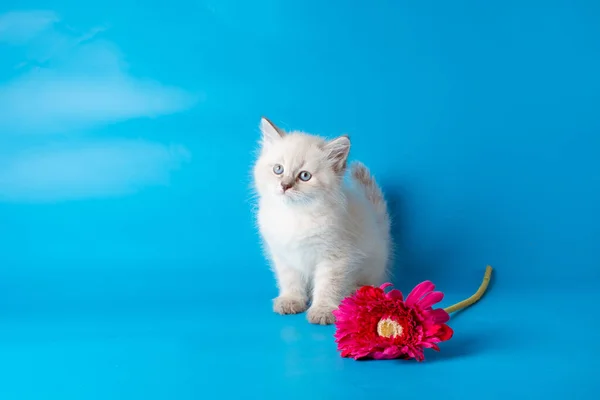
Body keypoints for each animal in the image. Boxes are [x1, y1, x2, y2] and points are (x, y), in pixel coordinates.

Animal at [251, 117, 392, 324]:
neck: (295, 214)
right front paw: (291, 301)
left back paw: (353, 292)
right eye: (278, 169)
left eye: (304, 176)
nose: (284, 185)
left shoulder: (335, 257)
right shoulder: (284, 255)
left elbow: (328, 285)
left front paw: (323, 310)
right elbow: (290, 280)